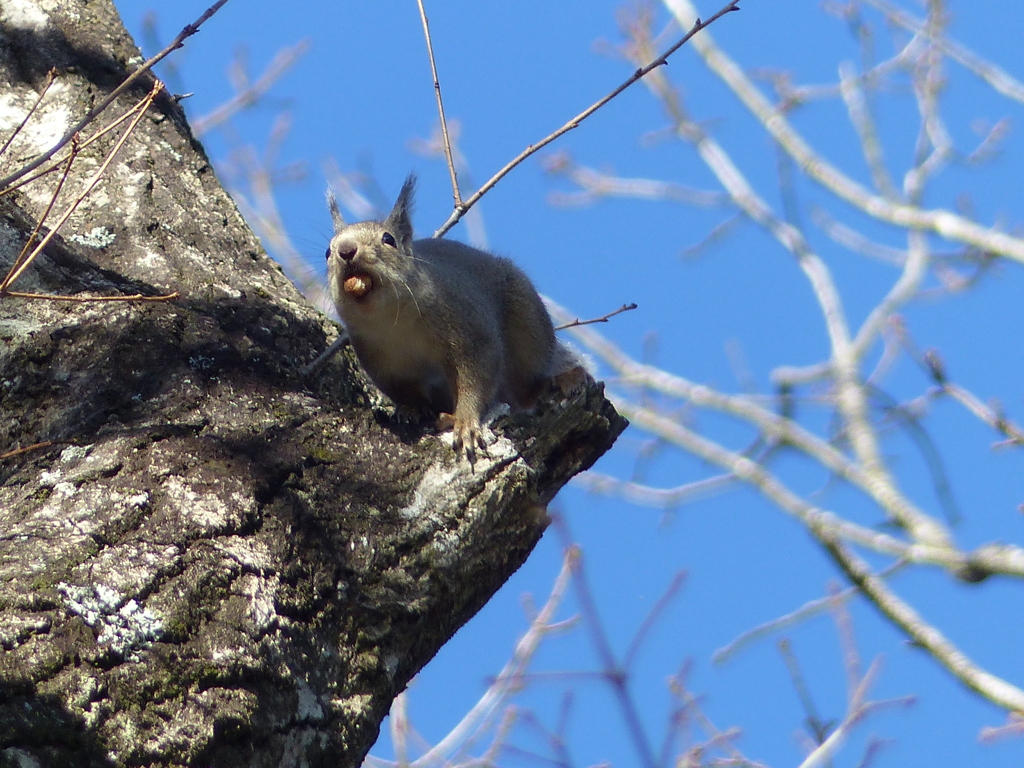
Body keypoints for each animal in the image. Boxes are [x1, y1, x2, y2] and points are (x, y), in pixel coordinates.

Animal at [327, 176, 585, 462]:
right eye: (327, 251)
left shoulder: (469, 330)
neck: (393, 321)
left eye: (388, 239)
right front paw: (412, 408)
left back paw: (559, 380)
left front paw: (465, 423)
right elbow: (402, 390)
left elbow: (475, 378)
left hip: (529, 329)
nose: (345, 251)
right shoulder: (381, 363)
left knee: (526, 386)